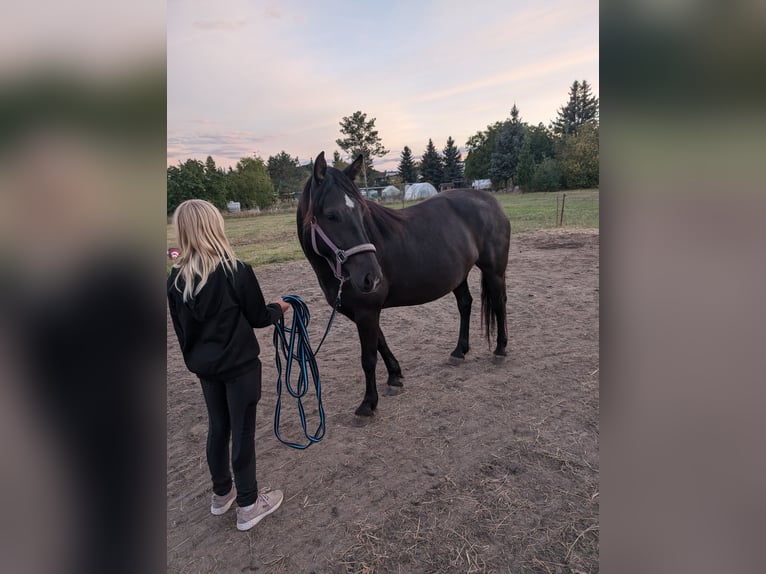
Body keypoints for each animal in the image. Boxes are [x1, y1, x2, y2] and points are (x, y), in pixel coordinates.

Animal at [296, 151, 510, 416]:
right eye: (331, 215)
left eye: (361, 212)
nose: (372, 277)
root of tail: (490, 201)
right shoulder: (360, 312)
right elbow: (380, 342)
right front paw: (395, 377)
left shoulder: (367, 311)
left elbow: (368, 357)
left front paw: (368, 403)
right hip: (458, 276)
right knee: (465, 304)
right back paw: (459, 351)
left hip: (494, 271)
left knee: (499, 303)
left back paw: (500, 350)